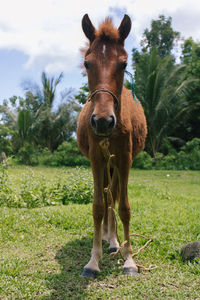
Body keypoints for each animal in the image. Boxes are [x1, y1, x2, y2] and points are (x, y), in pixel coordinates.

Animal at [76, 12, 147, 278]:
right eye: (87, 64)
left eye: (124, 64)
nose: (103, 121)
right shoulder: (97, 158)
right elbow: (98, 206)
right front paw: (93, 261)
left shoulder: (124, 159)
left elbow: (124, 206)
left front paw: (129, 260)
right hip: (107, 163)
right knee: (107, 198)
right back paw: (108, 238)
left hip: (115, 164)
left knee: (114, 196)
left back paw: (115, 241)